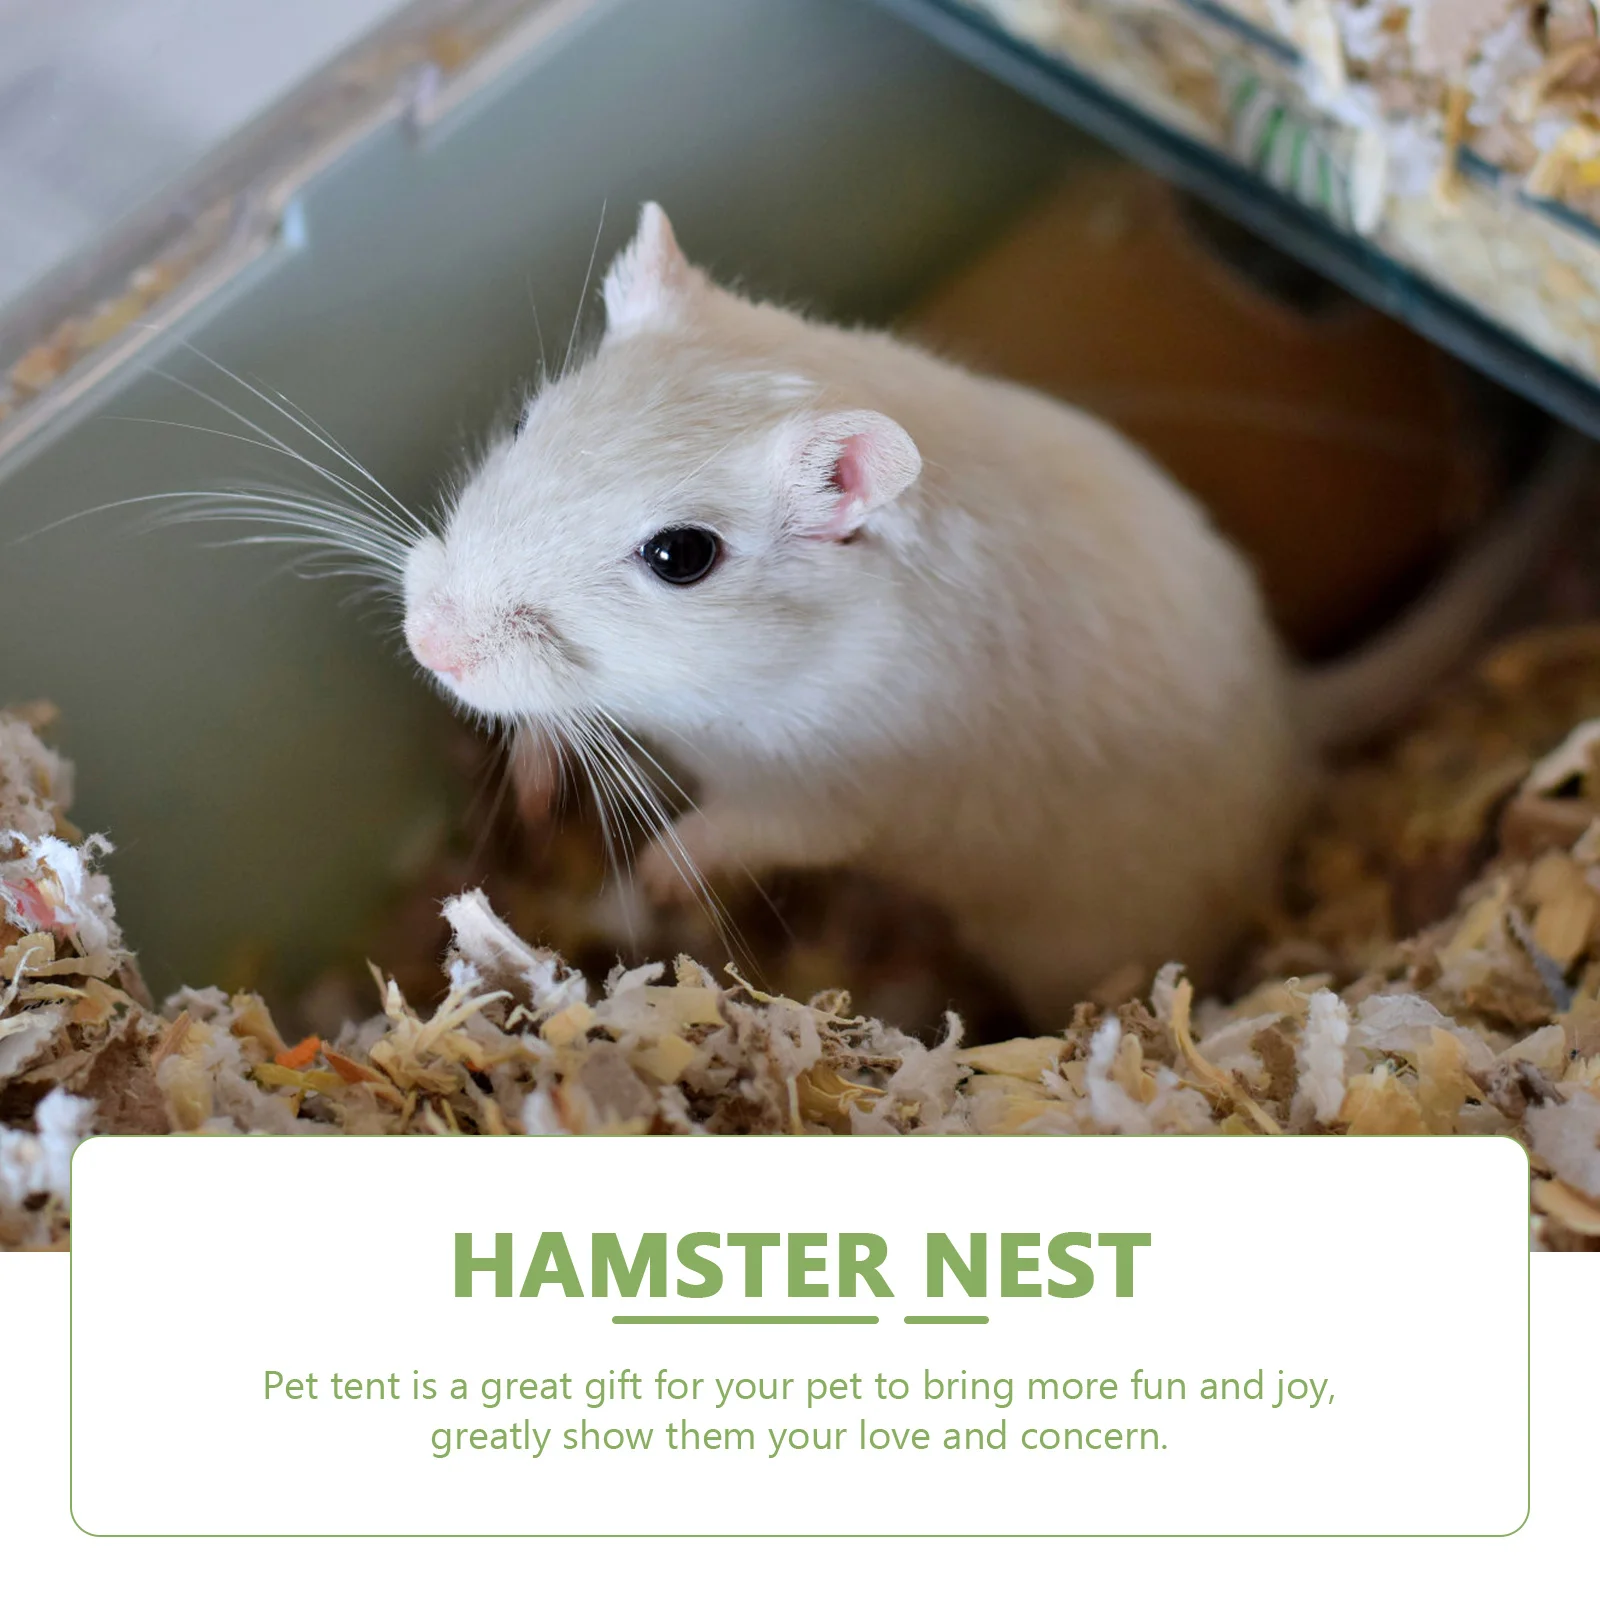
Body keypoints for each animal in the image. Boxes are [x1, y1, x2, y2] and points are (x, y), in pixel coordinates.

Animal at [402, 202, 1585, 1025]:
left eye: (679, 557)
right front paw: (536, 787)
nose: (429, 646)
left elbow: (744, 825)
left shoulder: (832, 783)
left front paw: (654, 873)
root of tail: (1297, 711)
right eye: (528, 416)